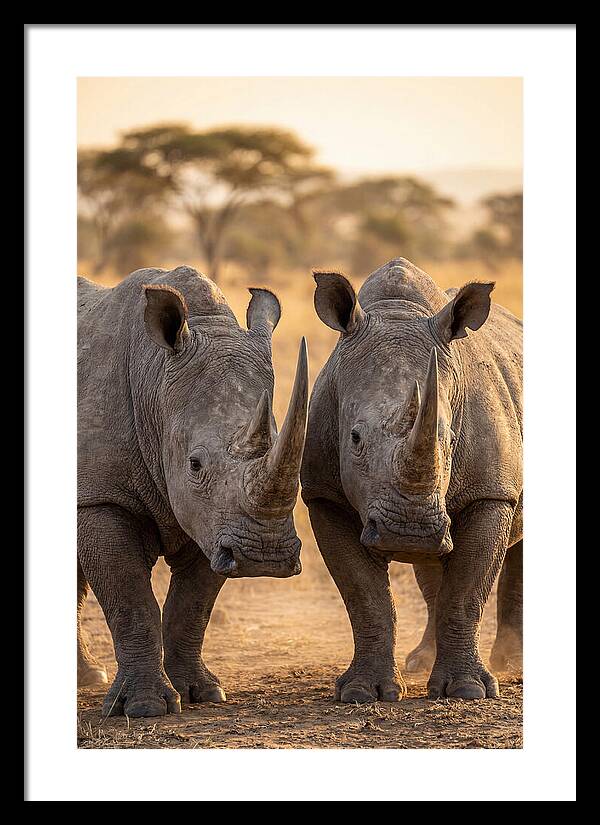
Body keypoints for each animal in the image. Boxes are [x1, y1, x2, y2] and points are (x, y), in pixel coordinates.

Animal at [77, 265, 308, 718]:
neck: (155, 378)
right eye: (195, 465)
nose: (265, 557)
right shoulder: (100, 495)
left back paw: (87, 677)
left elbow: (192, 605)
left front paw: (201, 693)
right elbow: (130, 599)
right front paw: (144, 708)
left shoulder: (216, 521)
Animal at [301, 258, 522, 702]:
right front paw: (363, 692)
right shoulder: (324, 495)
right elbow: (365, 597)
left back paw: (512, 663)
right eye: (354, 438)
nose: (410, 531)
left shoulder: (492, 493)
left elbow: (467, 593)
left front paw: (468, 691)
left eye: (449, 439)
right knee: (433, 569)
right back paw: (421, 661)